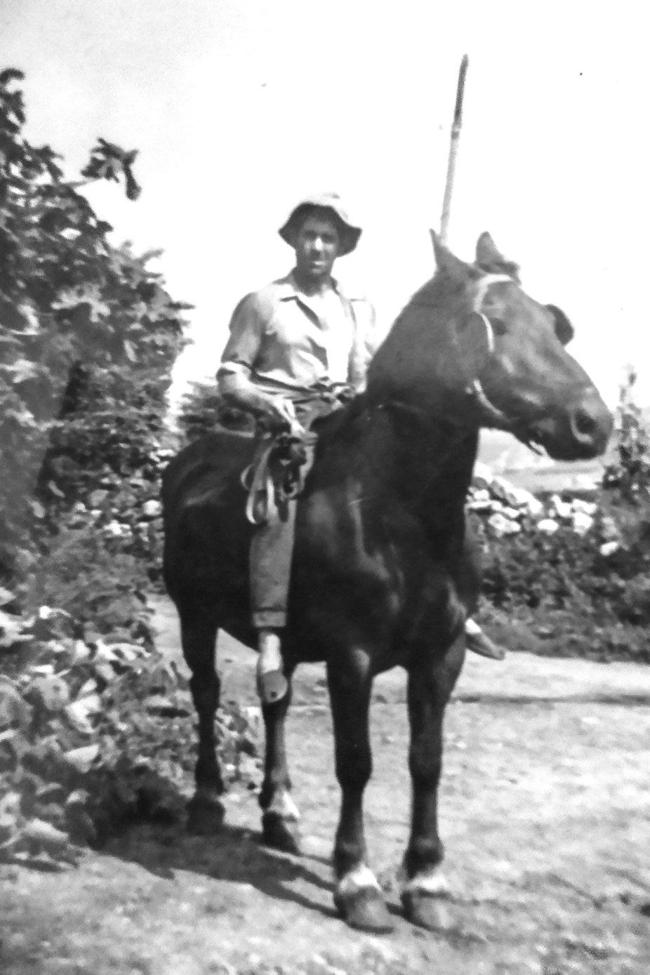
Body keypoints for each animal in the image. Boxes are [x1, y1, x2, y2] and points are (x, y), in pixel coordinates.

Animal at [161, 233, 608, 936]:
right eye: (496, 322)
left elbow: (427, 761)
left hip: (280, 641)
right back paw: (207, 802)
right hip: (194, 617)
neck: (401, 518)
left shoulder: (440, 656)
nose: (594, 423)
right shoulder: (353, 656)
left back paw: (280, 814)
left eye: (553, 323)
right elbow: (356, 761)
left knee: (275, 703)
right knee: (206, 695)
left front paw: (426, 879)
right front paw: (357, 881)